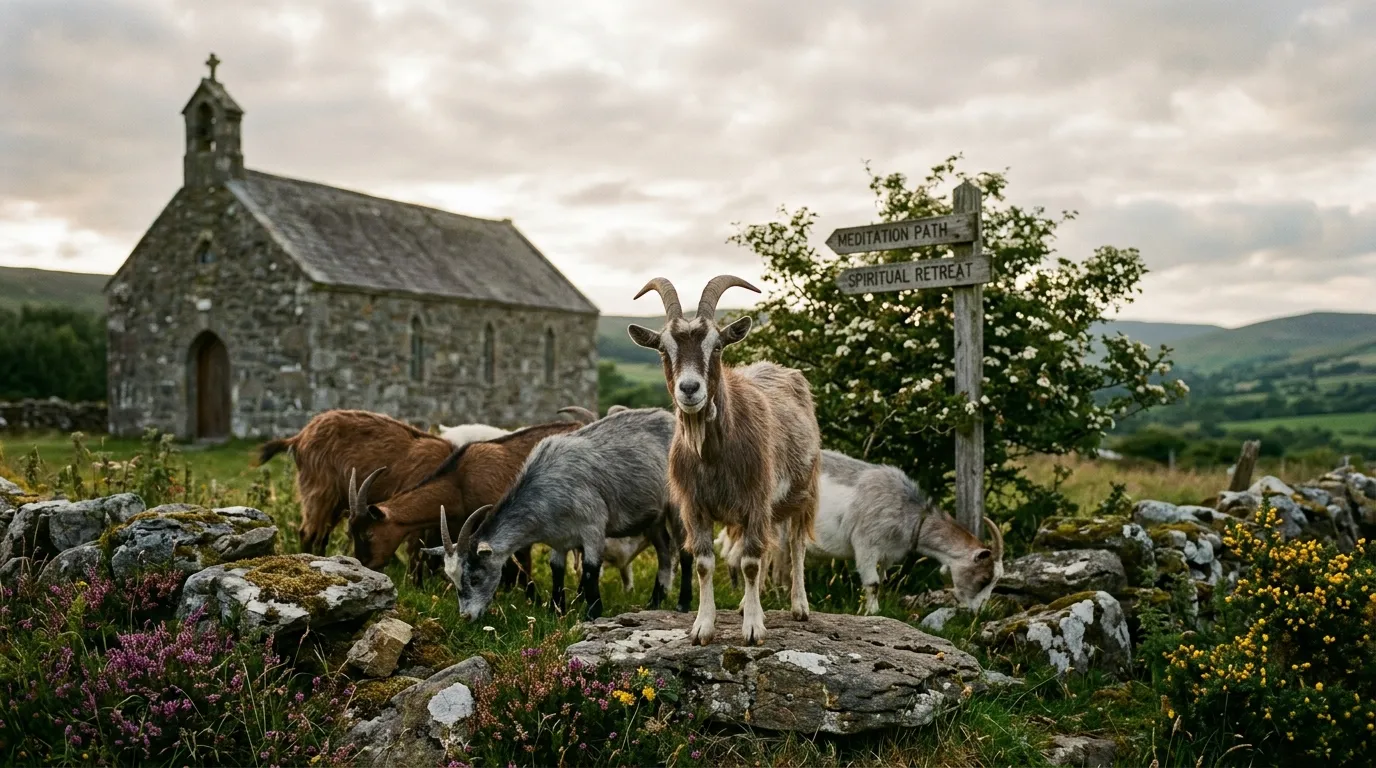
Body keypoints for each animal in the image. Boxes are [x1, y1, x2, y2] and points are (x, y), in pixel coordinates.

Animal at [429, 407, 692, 621]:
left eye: (475, 578)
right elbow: (557, 569)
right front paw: (556, 610)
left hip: (677, 505)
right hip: (654, 517)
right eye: (452, 579)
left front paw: (591, 613)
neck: (548, 486)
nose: (466, 617)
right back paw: (654, 603)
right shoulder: (559, 538)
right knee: (664, 552)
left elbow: (590, 569)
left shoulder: (593, 527)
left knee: (684, 551)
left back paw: (682, 604)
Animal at [627, 275, 821, 646]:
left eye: (717, 346)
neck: (714, 455)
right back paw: (747, 604)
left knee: (795, 545)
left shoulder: (757, 499)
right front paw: (703, 627)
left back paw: (799, 607)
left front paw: (754, 629)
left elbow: (751, 562)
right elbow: (705, 563)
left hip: (803, 491)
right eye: (663, 348)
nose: (690, 389)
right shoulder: (694, 506)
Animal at [721, 449, 1005, 615]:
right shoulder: (866, 544)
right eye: (983, 578)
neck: (907, 511)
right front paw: (872, 612)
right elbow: (873, 583)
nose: (979, 611)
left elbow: (881, 581)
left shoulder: (887, 555)